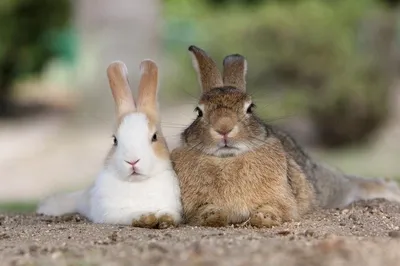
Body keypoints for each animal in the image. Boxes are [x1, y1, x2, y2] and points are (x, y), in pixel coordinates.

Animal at [36, 60, 183, 229]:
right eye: (115, 140)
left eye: (154, 137)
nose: (132, 161)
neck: (137, 183)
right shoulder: (113, 213)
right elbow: (129, 216)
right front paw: (145, 217)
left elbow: (169, 214)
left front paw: (165, 220)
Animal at [170, 44, 400, 228]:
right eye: (199, 112)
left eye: (250, 108)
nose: (224, 128)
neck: (227, 160)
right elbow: (203, 212)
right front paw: (214, 216)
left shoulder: (283, 198)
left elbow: (278, 208)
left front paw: (264, 218)